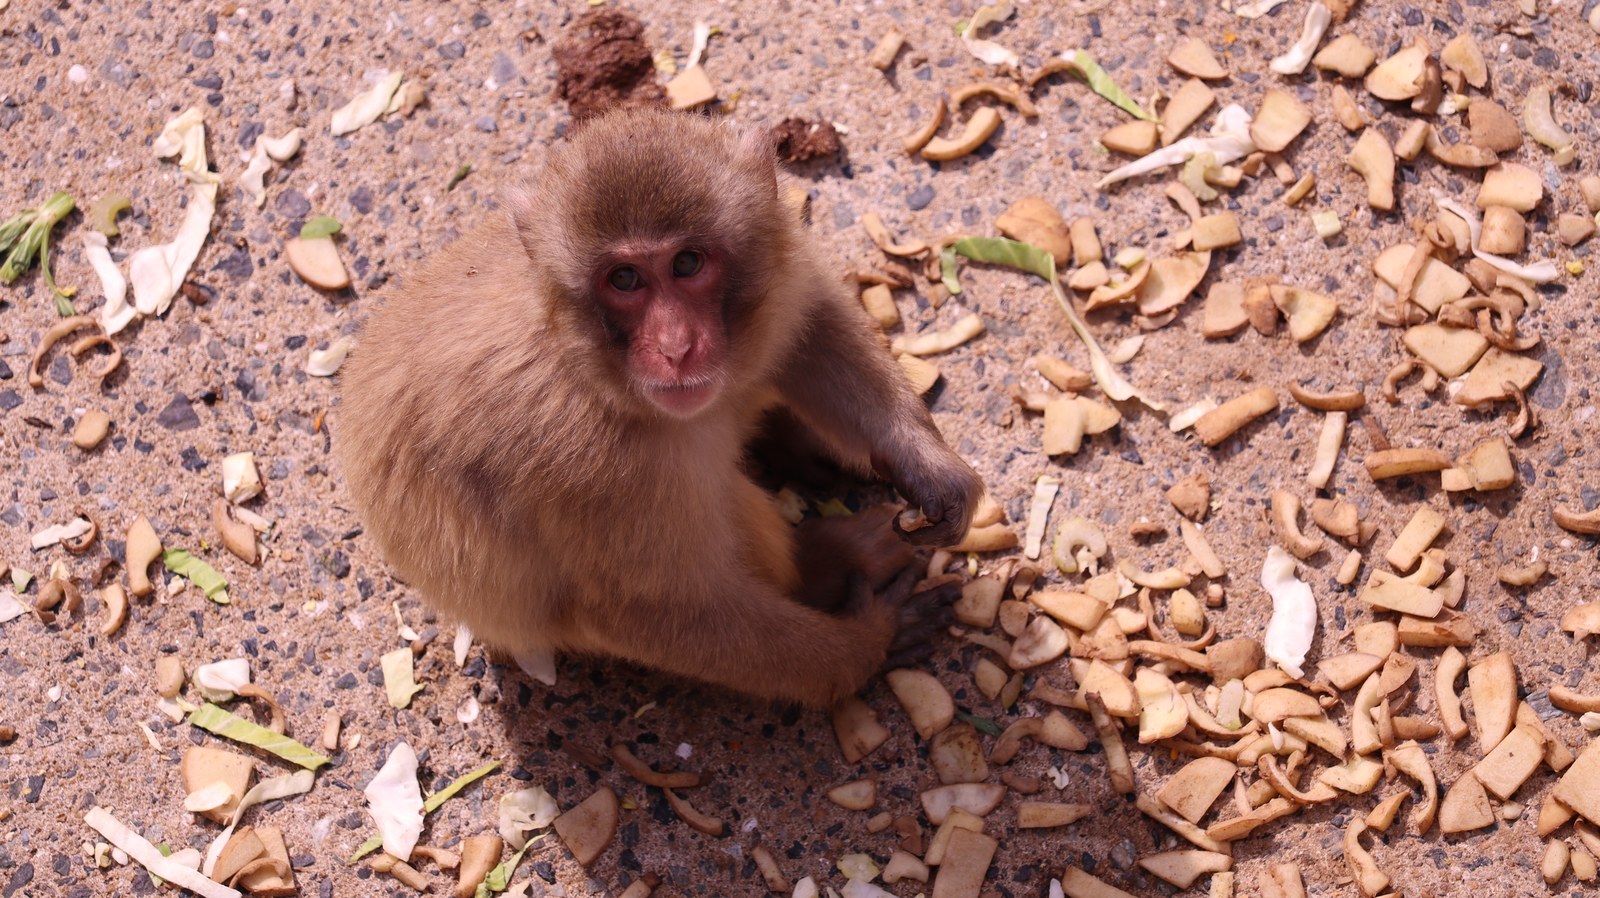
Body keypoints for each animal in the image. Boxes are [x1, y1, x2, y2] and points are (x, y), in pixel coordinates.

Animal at [337, 109, 983, 708]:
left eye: (687, 263)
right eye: (624, 279)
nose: (675, 348)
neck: (594, 372)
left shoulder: (777, 253)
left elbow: (810, 314)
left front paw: (928, 465)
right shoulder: (591, 470)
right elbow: (653, 614)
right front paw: (871, 642)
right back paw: (831, 561)